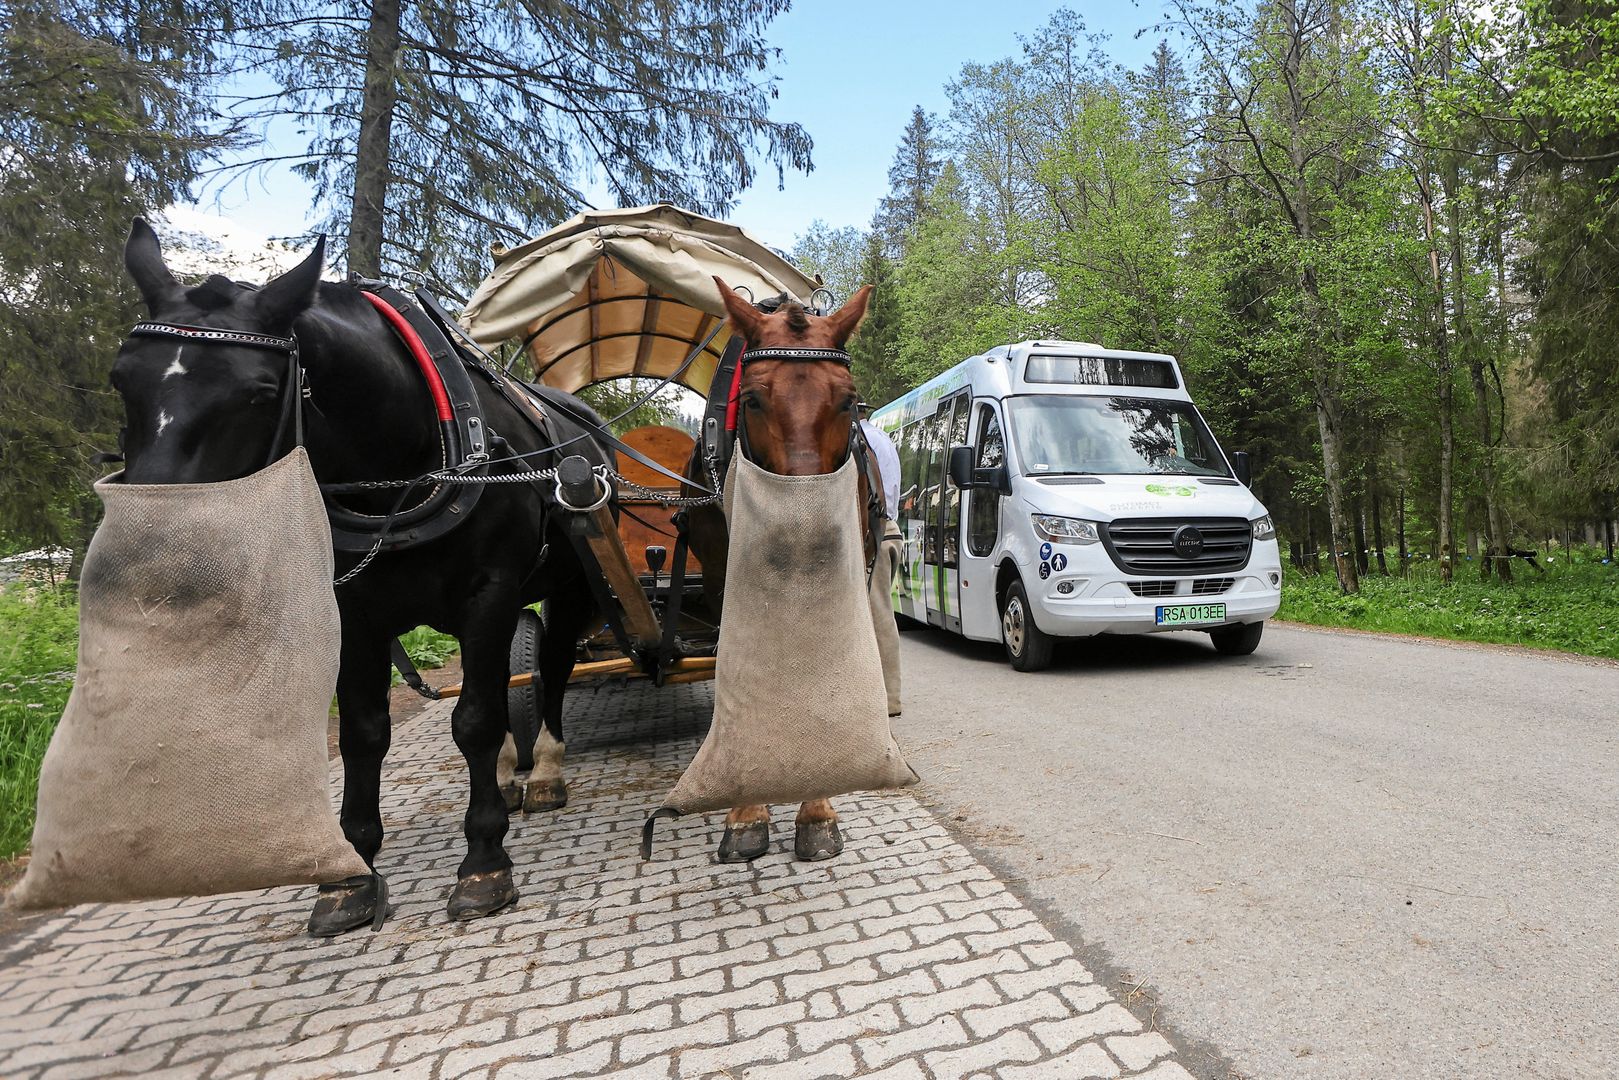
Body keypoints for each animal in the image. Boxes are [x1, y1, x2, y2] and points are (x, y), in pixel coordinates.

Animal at [112, 221, 608, 939]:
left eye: (259, 393)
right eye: (121, 379)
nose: (150, 549)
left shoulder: (487, 595)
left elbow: (475, 720)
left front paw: (484, 862)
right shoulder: (353, 611)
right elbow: (363, 734)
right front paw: (351, 873)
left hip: (571, 587)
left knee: (558, 668)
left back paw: (542, 767)